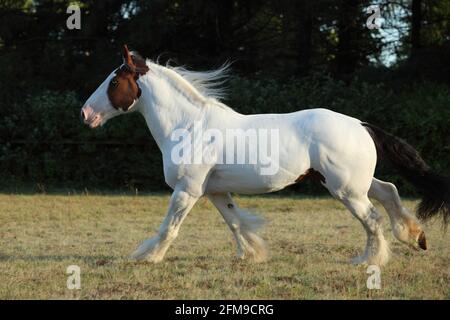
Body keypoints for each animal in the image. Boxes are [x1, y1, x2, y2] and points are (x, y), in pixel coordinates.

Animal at [81, 45, 446, 264]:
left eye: (114, 81)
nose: (86, 114)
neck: (190, 126)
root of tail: (361, 125)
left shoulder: (187, 190)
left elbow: (169, 227)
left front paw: (146, 257)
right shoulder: (214, 191)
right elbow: (235, 222)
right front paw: (252, 255)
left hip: (346, 189)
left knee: (372, 218)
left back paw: (369, 260)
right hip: (357, 182)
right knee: (389, 192)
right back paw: (416, 237)